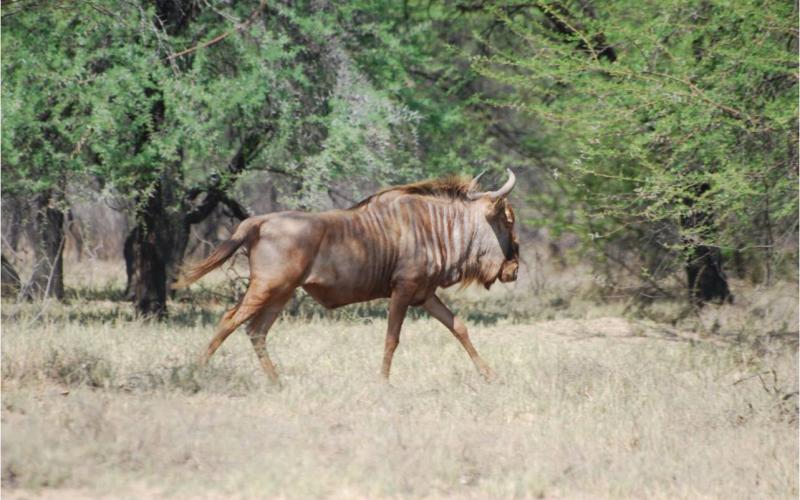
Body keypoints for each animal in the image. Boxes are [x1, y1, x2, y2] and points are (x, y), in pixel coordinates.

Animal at [174, 169, 519, 383]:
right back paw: (195, 372)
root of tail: (259, 221)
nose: (514, 269)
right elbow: (392, 338)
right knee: (230, 320)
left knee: (256, 331)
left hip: (281, 294)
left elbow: (459, 327)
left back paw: (277, 382)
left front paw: (490, 375)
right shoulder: (403, 291)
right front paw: (383, 382)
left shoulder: (425, 295)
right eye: (508, 219)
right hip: (266, 288)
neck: (436, 226)